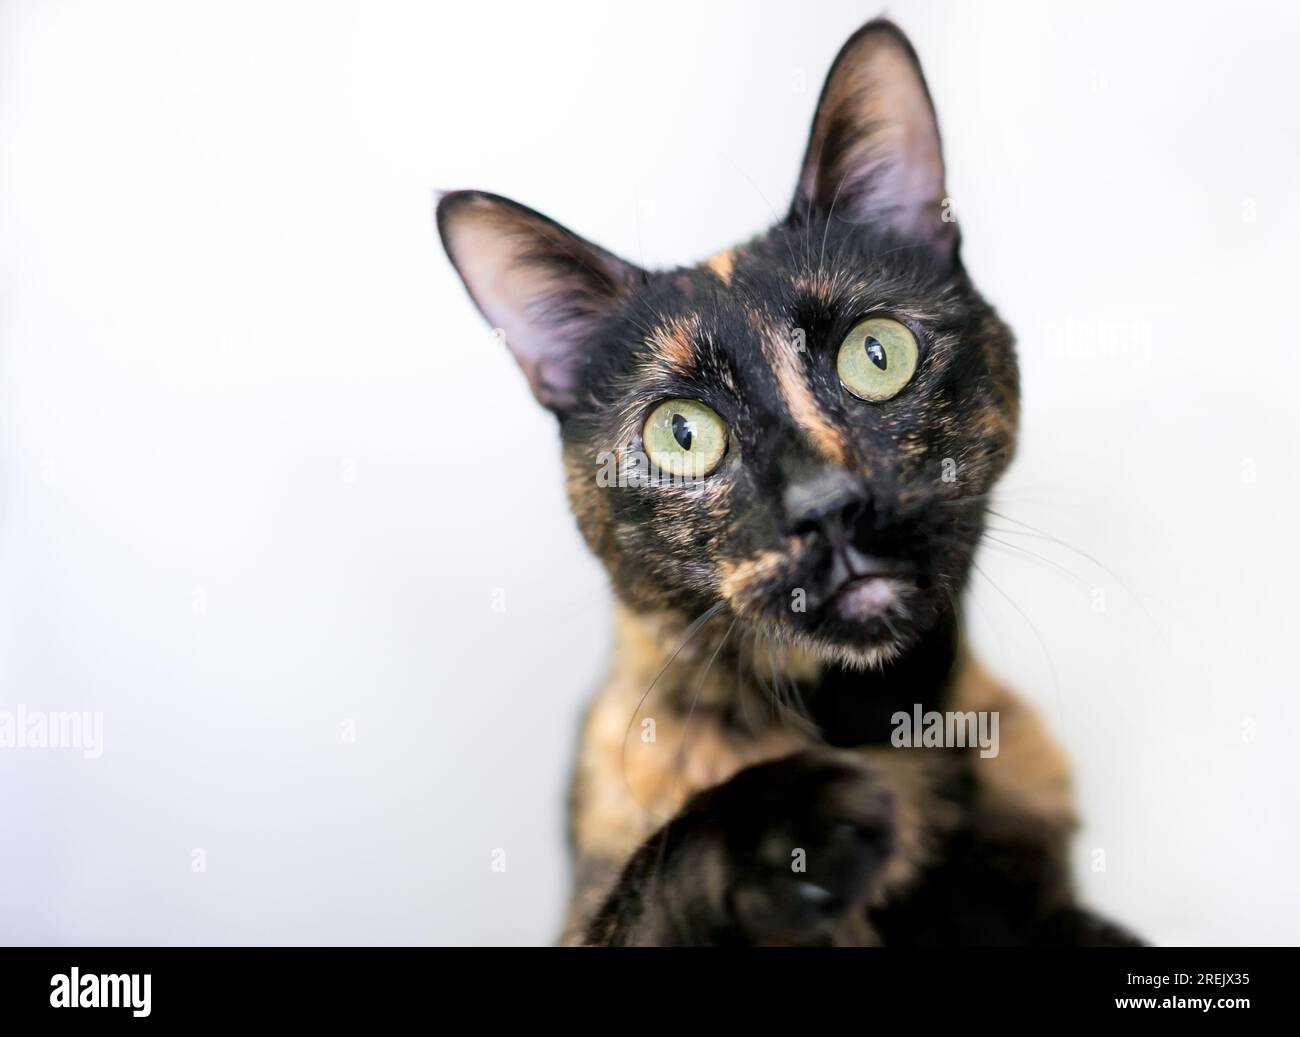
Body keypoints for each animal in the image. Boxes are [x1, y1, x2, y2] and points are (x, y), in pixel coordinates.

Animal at [434, 18, 1138, 951]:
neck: (875, 725)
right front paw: (792, 823)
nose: (826, 506)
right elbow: (649, 880)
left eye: (877, 353)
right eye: (682, 433)